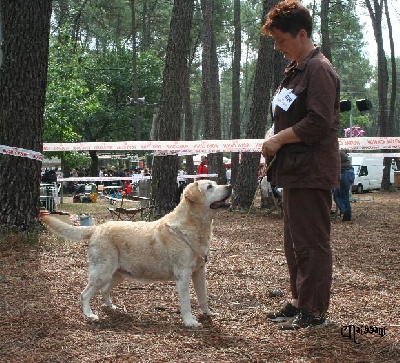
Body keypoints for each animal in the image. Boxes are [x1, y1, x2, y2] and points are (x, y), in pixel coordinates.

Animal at [41, 181, 231, 328]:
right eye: (209, 187)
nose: (229, 186)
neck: (196, 227)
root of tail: (97, 228)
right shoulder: (183, 275)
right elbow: (186, 303)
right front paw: (190, 322)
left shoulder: (199, 272)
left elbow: (203, 296)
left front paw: (208, 313)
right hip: (102, 273)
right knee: (85, 293)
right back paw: (90, 315)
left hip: (118, 275)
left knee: (103, 290)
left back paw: (112, 307)